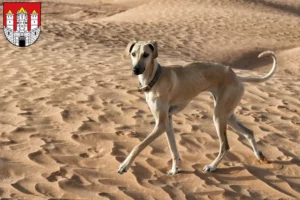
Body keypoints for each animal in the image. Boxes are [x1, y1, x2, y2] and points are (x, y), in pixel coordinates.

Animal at [118, 40, 278, 175]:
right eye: (133, 54)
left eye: (146, 54)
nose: (135, 69)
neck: (156, 77)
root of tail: (237, 76)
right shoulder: (167, 121)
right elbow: (173, 149)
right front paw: (175, 170)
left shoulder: (161, 123)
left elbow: (138, 146)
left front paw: (125, 165)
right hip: (228, 114)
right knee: (249, 132)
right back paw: (259, 155)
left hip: (218, 116)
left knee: (225, 145)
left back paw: (212, 166)